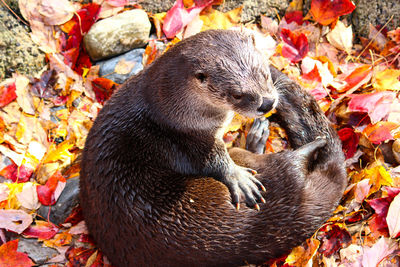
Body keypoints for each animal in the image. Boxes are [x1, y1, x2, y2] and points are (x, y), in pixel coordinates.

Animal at [79, 28, 346, 266]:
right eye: (237, 94)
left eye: (263, 74)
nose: (267, 102)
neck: (173, 111)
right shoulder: (191, 138)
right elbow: (212, 161)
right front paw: (239, 179)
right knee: (283, 164)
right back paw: (309, 145)